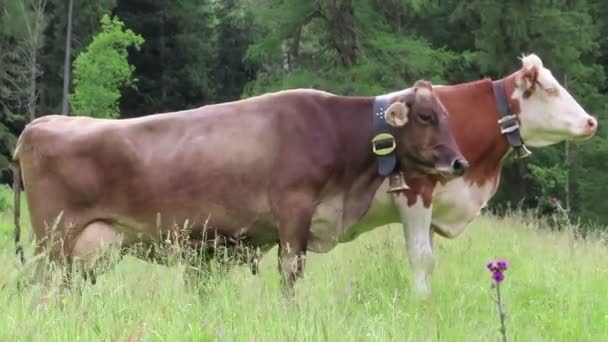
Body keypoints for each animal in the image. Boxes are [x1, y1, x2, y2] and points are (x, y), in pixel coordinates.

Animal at [15, 79, 470, 292]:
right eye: (427, 116)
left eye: (449, 115)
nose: (459, 162)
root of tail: (38, 125)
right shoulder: (293, 212)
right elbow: (290, 274)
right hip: (53, 240)